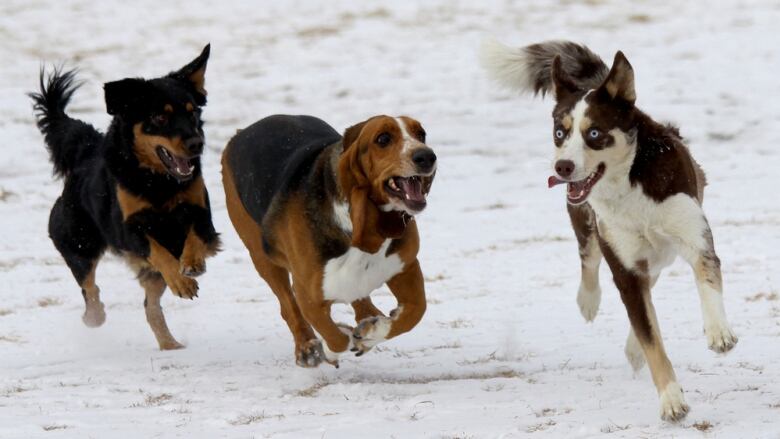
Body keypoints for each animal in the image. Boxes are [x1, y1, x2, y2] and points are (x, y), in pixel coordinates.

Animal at [30, 45, 219, 350]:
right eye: (160, 118)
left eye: (192, 114)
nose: (196, 143)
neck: (157, 182)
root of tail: (86, 150)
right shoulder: (128, 227)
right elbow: (159, 252)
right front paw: (183, 282)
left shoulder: (201, 213)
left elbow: (193, 237)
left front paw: (192, 265)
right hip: (77, 240)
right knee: (89, 285)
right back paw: (94, 316)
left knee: (150, 306)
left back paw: (170, 344)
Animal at [222, 114, 436, 368]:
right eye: (383, 139)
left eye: (421, 134)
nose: (427, 156)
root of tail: (240, 133)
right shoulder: (308, 295)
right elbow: (336, 337)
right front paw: (330, 349)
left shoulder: (406, 267)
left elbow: (416, 311)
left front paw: (372, 332)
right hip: (263, 257)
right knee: (288, 306)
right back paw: (307, 347)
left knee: (361, 300)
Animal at [482, 41, 736, 422]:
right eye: (560, 132)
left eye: (594, 133)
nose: (562, 167)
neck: (628, 184)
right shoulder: (624, 266)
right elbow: (651, 338)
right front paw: (671, 400)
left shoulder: (693, 237)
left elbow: (705, 281)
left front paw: (719, 332)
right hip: (587, 223)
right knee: (590, 259)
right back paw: (589, 301)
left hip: (658, 249)